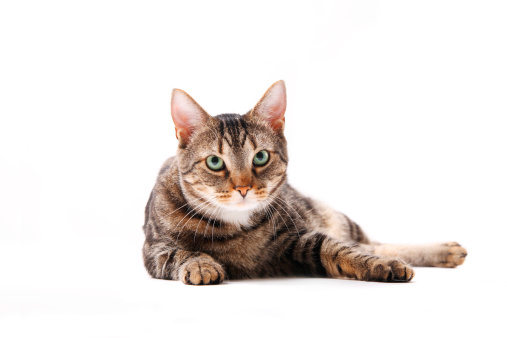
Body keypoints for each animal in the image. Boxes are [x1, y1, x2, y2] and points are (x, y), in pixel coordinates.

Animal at [143, 80, 468, 284]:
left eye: (261, 157)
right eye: (214, 162)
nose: (243, 188)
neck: (235, 225)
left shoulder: (300, 237)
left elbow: (342, 250)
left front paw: (381, 266)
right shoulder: (154, 251)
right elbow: (181, 251)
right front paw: (201, 264)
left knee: (372, 244)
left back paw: (444, 251)